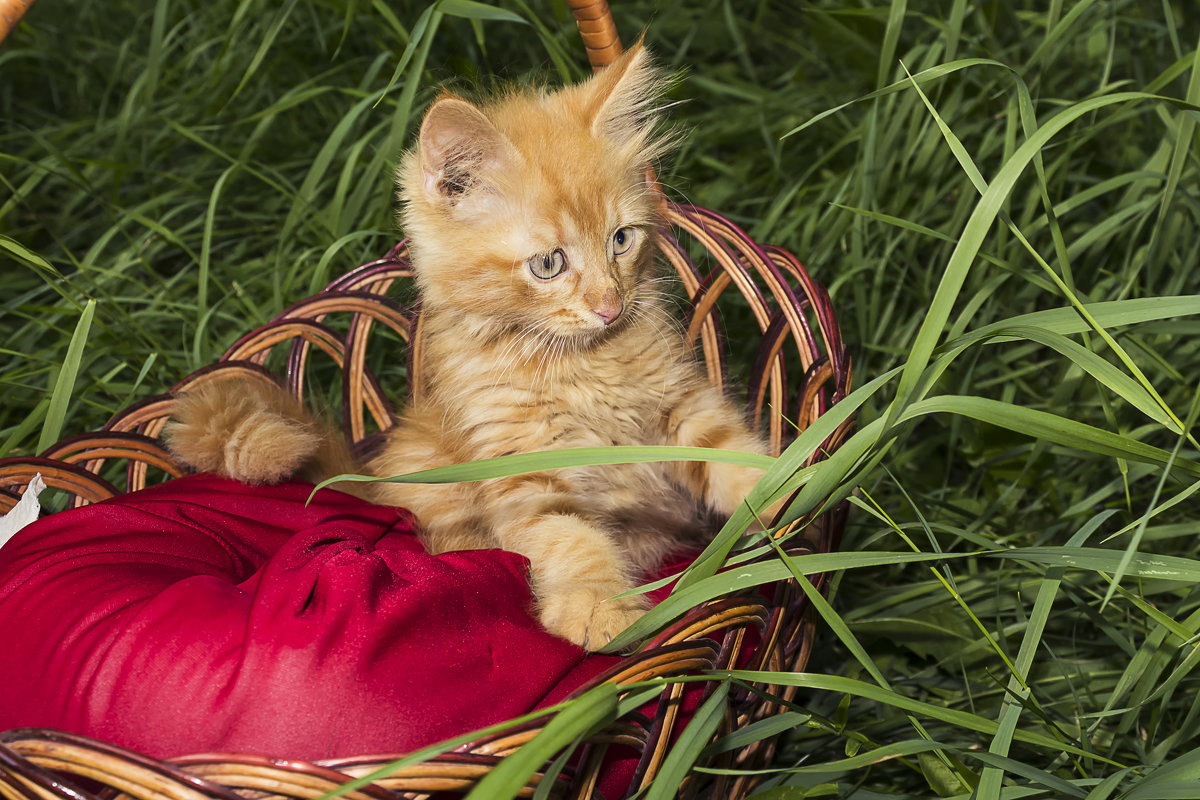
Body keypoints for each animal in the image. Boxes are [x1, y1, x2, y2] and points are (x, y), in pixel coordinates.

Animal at [164, 45, 772, 652]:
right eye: (548, 264)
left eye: (621, 240)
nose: (610, 305)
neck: (579, 363)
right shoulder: (522, 463)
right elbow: (569, 536)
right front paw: (599, 606)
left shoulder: (680, 402)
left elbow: (730, 453)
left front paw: (786, 483)